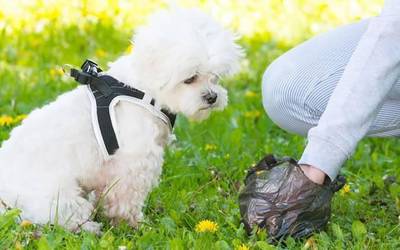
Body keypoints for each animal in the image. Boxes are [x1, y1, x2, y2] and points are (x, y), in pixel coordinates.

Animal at [0, 8, 242, 234]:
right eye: (190, 78)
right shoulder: (134, 162)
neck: (143, 90)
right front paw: (132, 224)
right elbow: (126, 199)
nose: (212, 97)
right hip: (59, 196)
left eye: (215, 77)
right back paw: (89, 227)